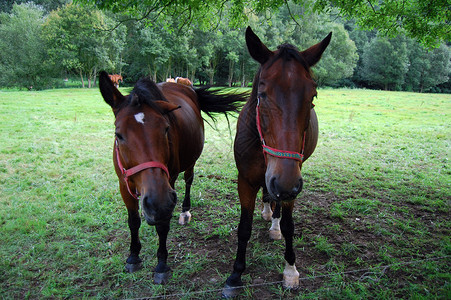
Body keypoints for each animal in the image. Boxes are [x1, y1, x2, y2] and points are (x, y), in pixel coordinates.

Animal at [99, 71, 247, 284]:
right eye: (118, 134)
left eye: (166, 129)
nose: (156, 202)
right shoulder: (123, 183)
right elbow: (133, 221)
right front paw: (133, 256)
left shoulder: (168, 185)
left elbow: (162, 225)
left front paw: (161, 265)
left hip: (190, 161)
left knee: (189, 180)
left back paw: (185, 211)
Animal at [222, 26, 332, 298]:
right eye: (262, 94)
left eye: (312, 95)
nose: (284, 183)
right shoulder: (246, 180)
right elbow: (244, 227)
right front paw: (235, 276)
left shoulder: (292, 181)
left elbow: (290, 225)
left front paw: (290, 269)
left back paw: (274, 224)